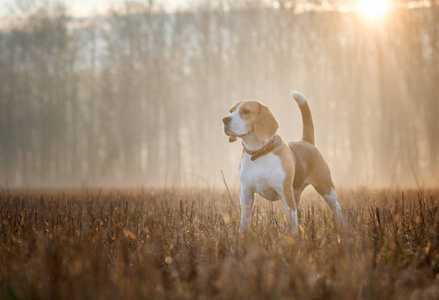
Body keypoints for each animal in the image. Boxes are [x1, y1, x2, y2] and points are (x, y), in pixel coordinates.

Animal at [223, 91, 344, 234]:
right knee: (301, 212)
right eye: (230, 111)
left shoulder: (285, 193)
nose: (225, 119)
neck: (258, 153)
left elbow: (291, 224)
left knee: (336, 207)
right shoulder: (247, 194)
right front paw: (242, 236)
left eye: (245, 111)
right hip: (296, 193)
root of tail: (307, 142)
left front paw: (291, 238)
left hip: (326, 188)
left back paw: (342, 229)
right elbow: (244, 222)